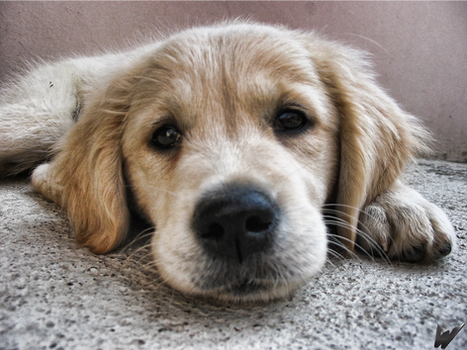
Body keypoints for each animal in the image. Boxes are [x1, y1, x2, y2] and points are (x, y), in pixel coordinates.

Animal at [0, 21, 458, 304]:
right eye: (165, 135)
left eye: (291, 119)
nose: (235, 219)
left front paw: (397, 204)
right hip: (42, 118)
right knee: (43, 169)